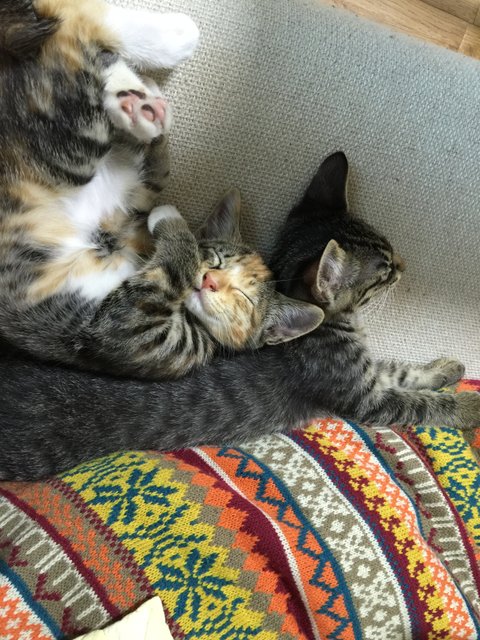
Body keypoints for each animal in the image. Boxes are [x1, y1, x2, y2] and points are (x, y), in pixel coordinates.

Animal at [0, 0, 322, 380]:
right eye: (216, 260)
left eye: (243, 298)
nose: (210, 281)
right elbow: (156, 178)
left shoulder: (136, 331)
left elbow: (157, 198)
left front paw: (169, 216)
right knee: (76, 30)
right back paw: (154, 67)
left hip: (70, 153)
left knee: (73, 43)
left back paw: (145, 84)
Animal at [1, 151, 478, 481]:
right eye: (383, 271)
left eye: (389, 251)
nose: (404, 265)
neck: (334, 326)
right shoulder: (360, 395)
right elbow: (417, 403)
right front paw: (467, 404)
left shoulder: (368, 372)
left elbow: (398, 370)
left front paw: (445, 368)